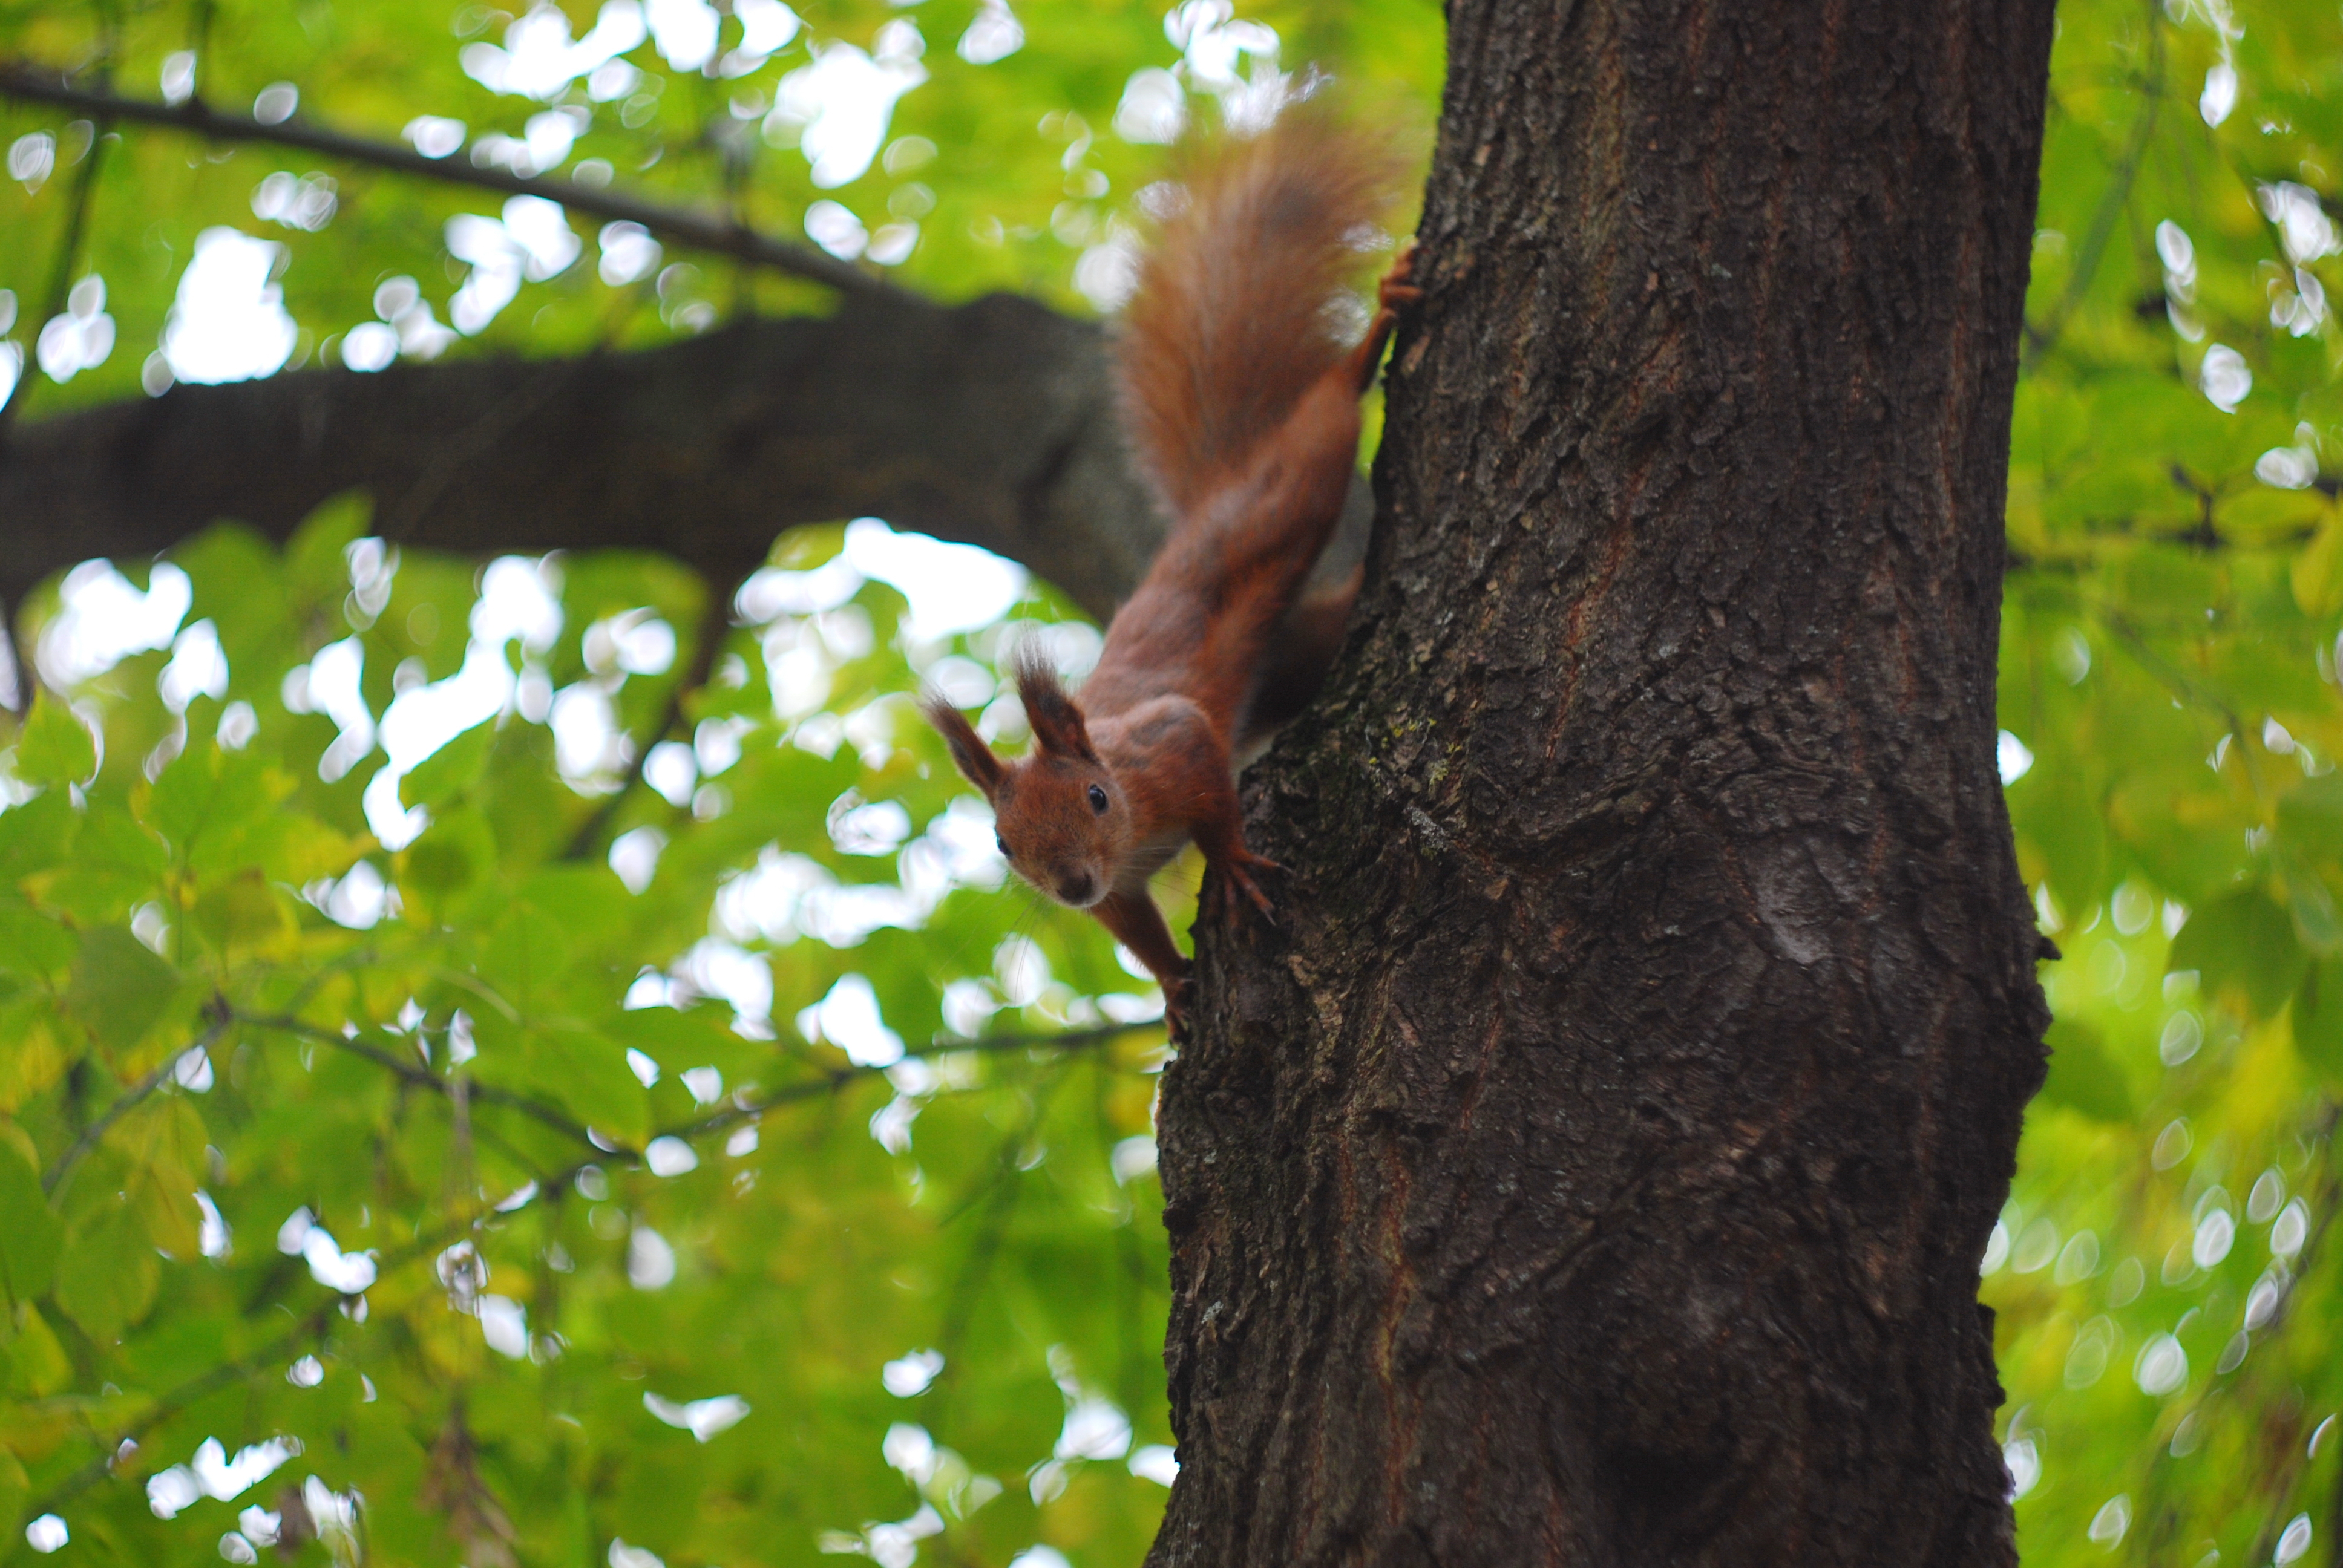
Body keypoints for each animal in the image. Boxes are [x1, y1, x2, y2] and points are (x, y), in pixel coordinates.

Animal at [923, 107, 1415, 1027]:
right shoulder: (1118, 890)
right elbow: (1135, 929)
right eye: (1003, 843)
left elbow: (1211, 791)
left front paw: (1231, 865)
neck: (1128, 824)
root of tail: (1212, 496)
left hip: (1285, 494)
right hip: (1293, 657)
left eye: (1094, 798)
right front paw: (1174, 986)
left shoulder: (1171, 745)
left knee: (1326, 417)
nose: (1070, 883)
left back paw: (1377, 328)